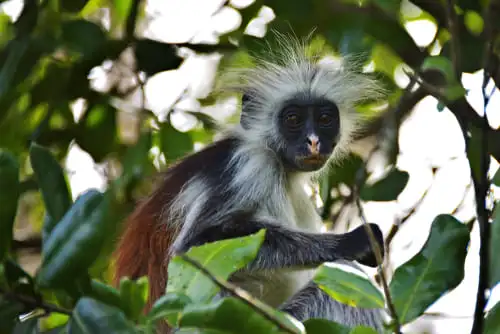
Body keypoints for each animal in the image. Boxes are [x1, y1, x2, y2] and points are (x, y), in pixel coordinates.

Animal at [113, 35, 386, 332]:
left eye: (325, 119)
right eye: (293, 119)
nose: (313, 141)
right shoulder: (249, 166)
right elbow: (193, 247)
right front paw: (352, 242)